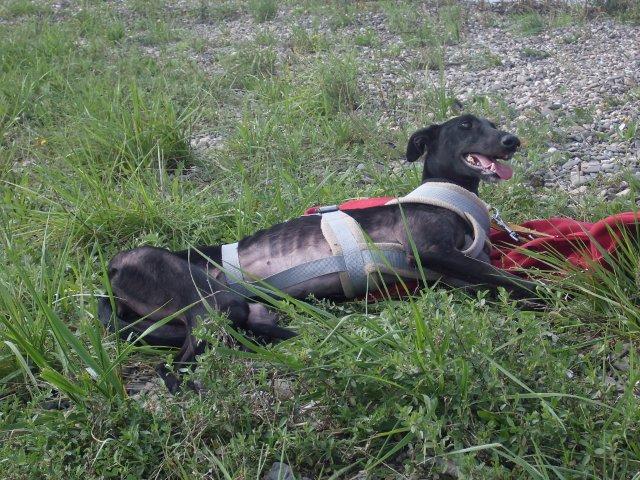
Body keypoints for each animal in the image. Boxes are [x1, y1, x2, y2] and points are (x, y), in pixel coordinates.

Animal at [99, 114, 536, 392]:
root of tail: (113, 270)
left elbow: (497, 283)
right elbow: (516, 281)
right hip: (214, 305)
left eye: (493, 123)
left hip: (227, 317)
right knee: (173, 368)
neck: (448, 196)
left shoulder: (455, 273)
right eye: (465, 125)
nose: (512, 141)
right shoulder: (428, 252)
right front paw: (547, 296)